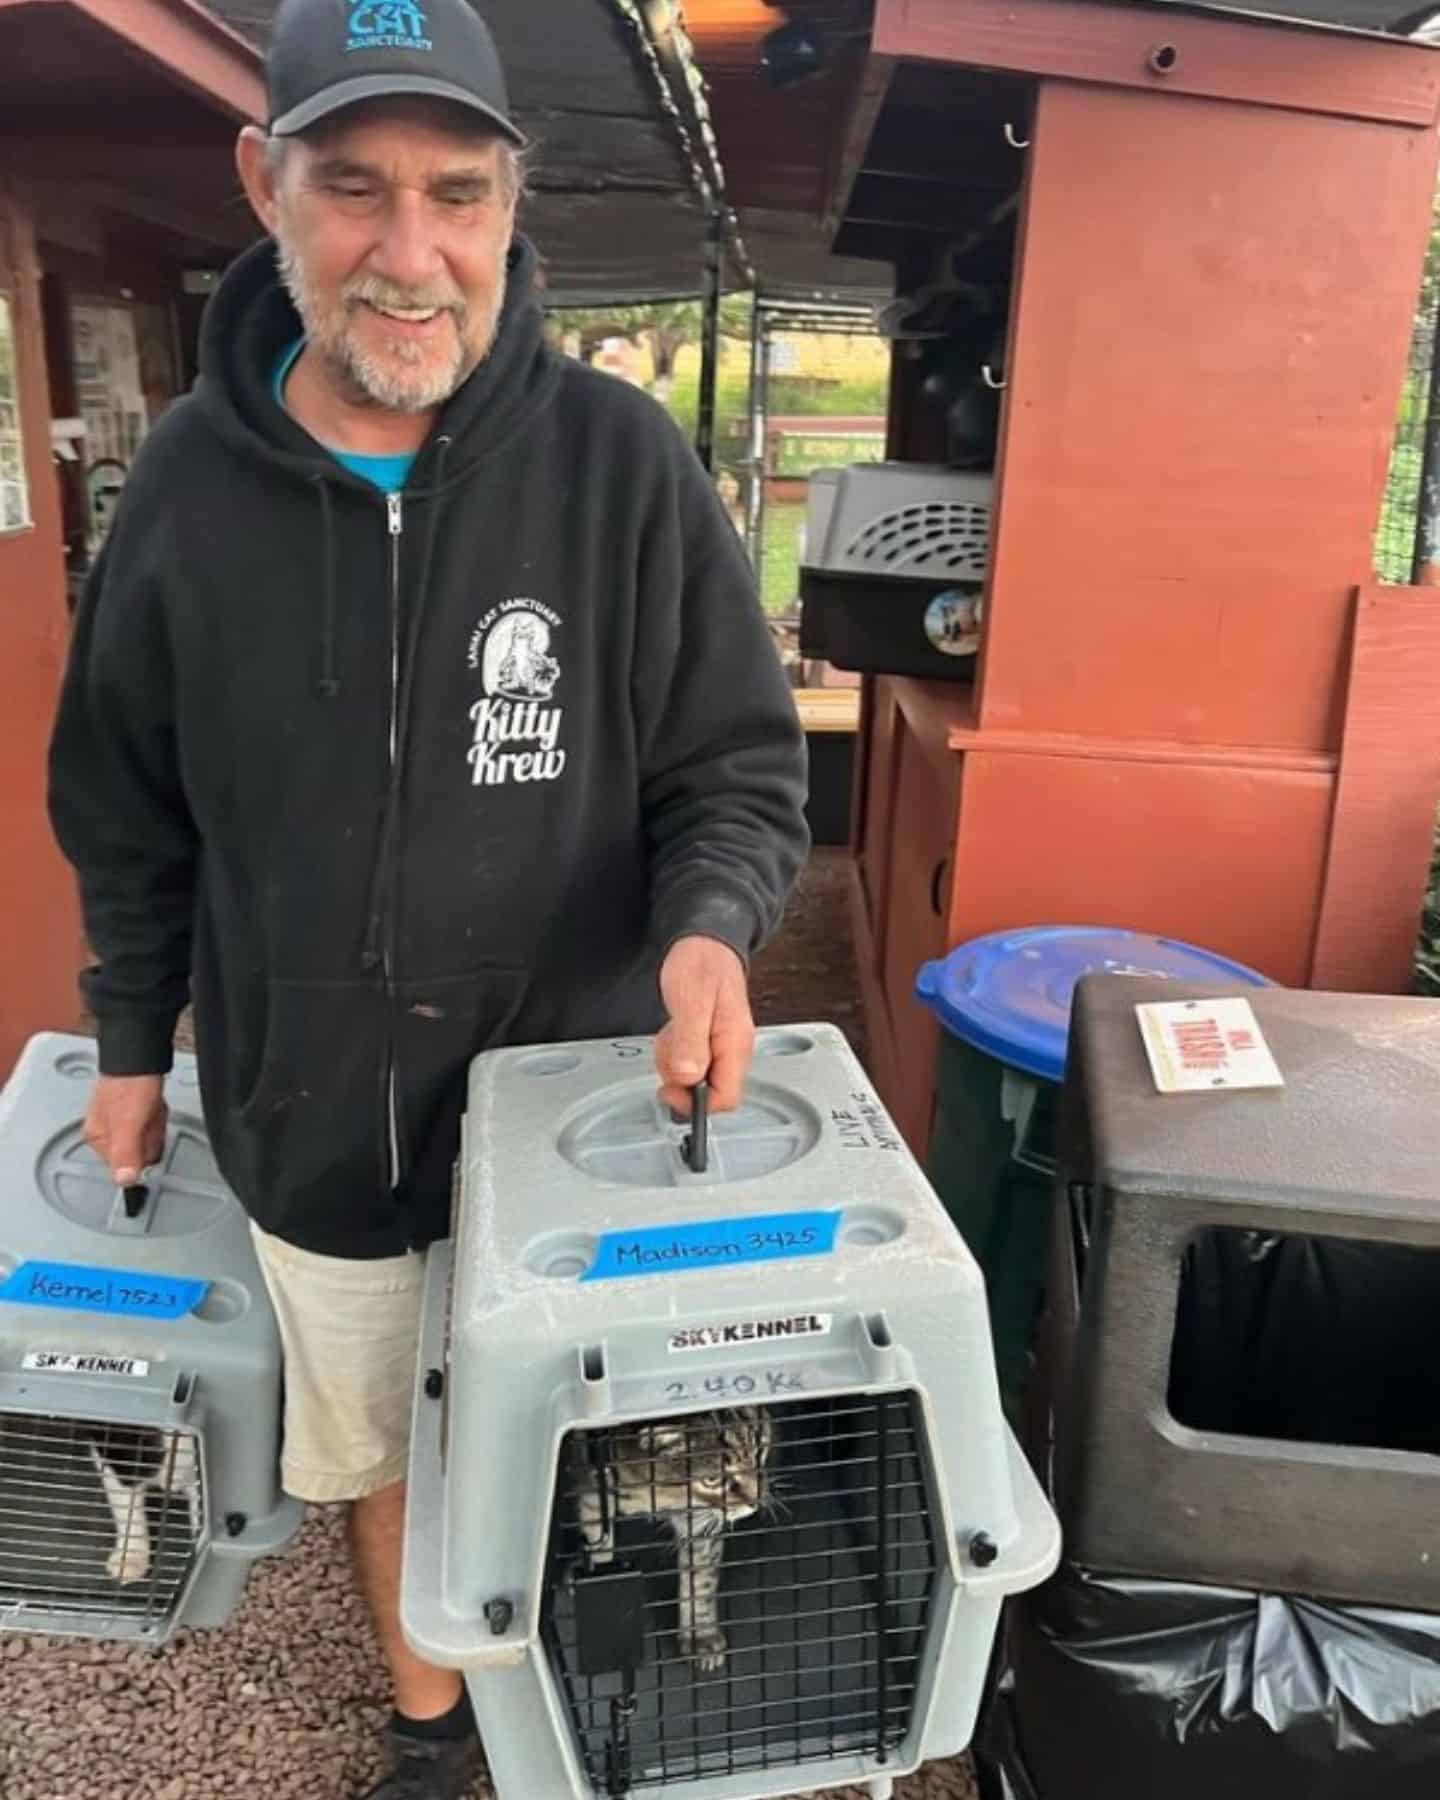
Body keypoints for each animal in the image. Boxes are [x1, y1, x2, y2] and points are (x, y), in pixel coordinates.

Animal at [576, 1404, 777, 1670]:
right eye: (712, 1479)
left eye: (759, 1451)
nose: (756, 1501)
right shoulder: (593, 1488)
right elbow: (598, 1545)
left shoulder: (700, 1521)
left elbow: (701, 1579)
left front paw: (700, 1635)